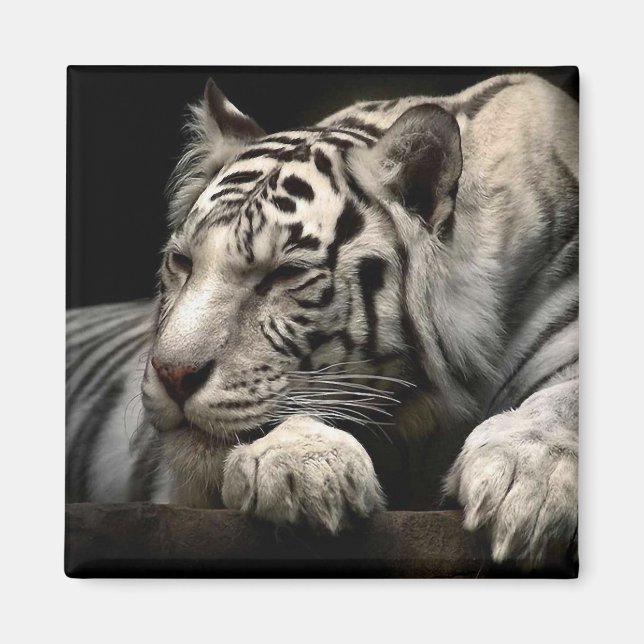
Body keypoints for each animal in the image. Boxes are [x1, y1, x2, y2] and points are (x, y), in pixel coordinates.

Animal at [66, 72, 579, 568]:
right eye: (183, 262)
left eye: (285, 274)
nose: (172, 375)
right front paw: (302, 469)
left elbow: (565, 401)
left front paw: (526, 483)